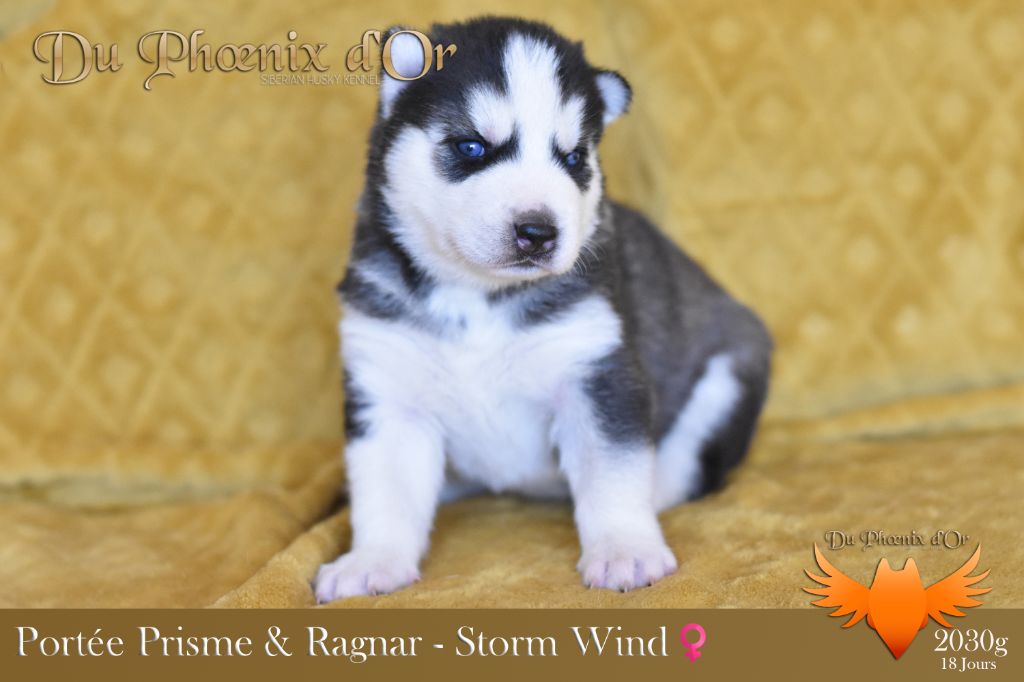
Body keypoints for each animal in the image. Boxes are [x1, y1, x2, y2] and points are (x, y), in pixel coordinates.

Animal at [314, 17, 772, 602]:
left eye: (574, 158)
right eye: (472, 146)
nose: (538, 231)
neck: (477, 297)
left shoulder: (595, 372)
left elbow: (613, 471)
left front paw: (624, 549)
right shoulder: (387, 386)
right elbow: (386, 489)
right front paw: (372, 560)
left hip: (732, 366)